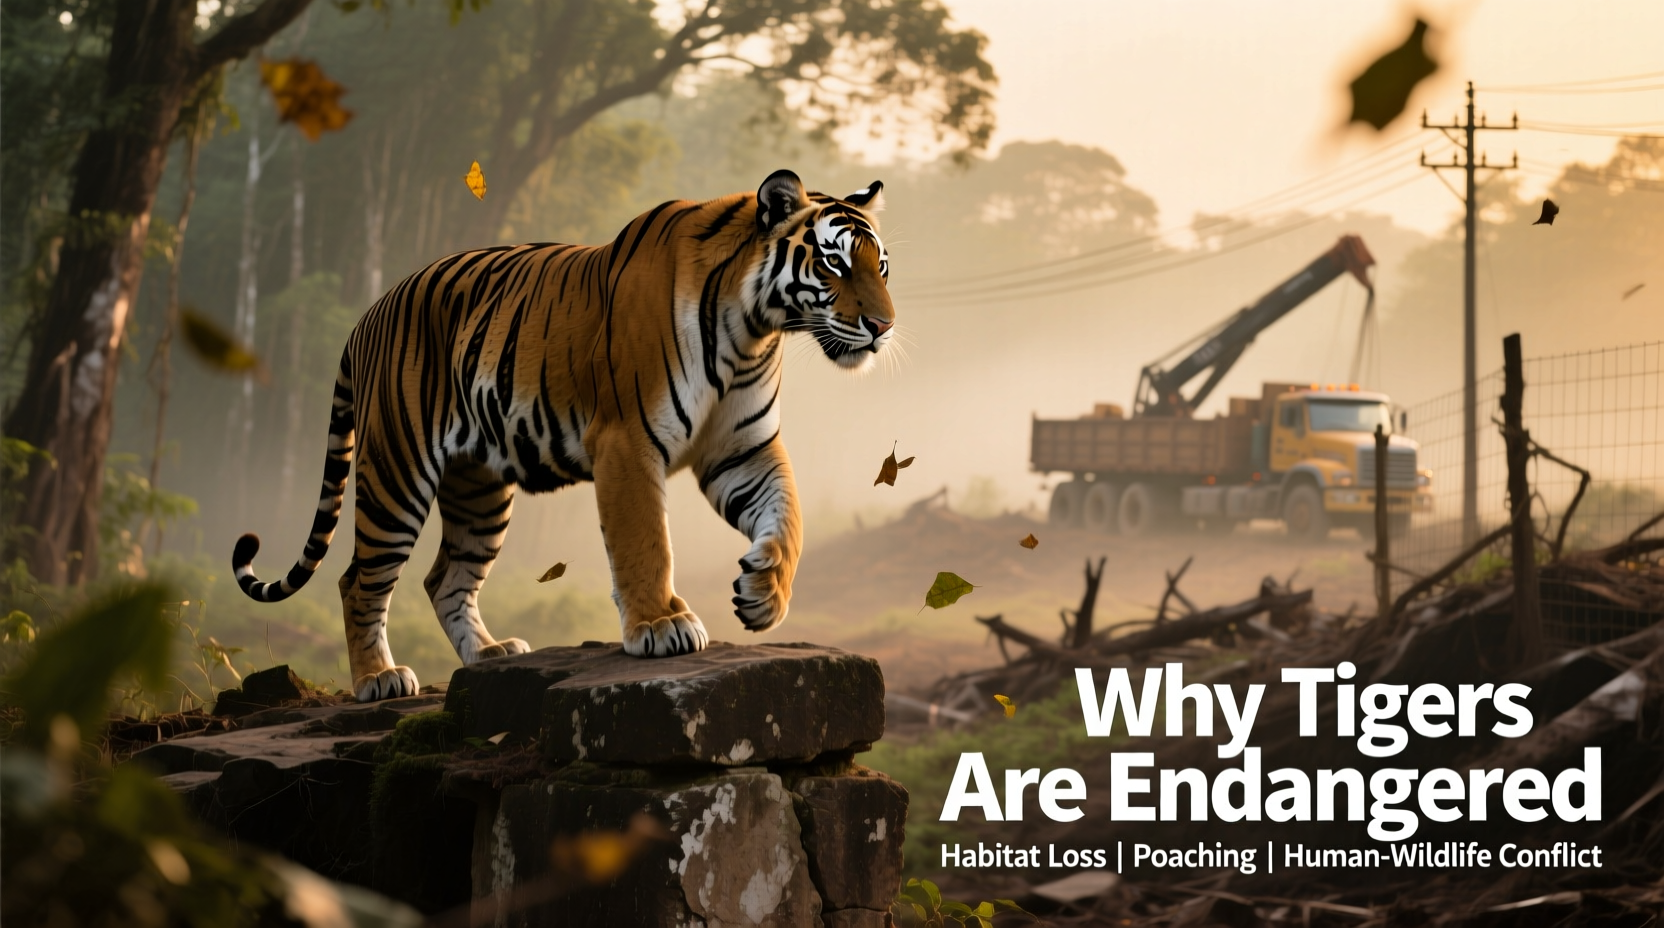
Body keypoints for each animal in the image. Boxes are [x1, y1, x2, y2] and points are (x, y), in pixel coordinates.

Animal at [231, 170, 895, 702]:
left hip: (478, 490)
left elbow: (788, 517)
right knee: (359, 579)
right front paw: (660, 625)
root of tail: (369, 313)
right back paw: (378, 679)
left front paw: (764, 593)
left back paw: (489, 653)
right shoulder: (627, 441)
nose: (883, 326)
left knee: (445, 577)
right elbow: (645, 542)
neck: (754, 327)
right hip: (397, 471)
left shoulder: (743, 448)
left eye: (881, 266)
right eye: (834, 263)